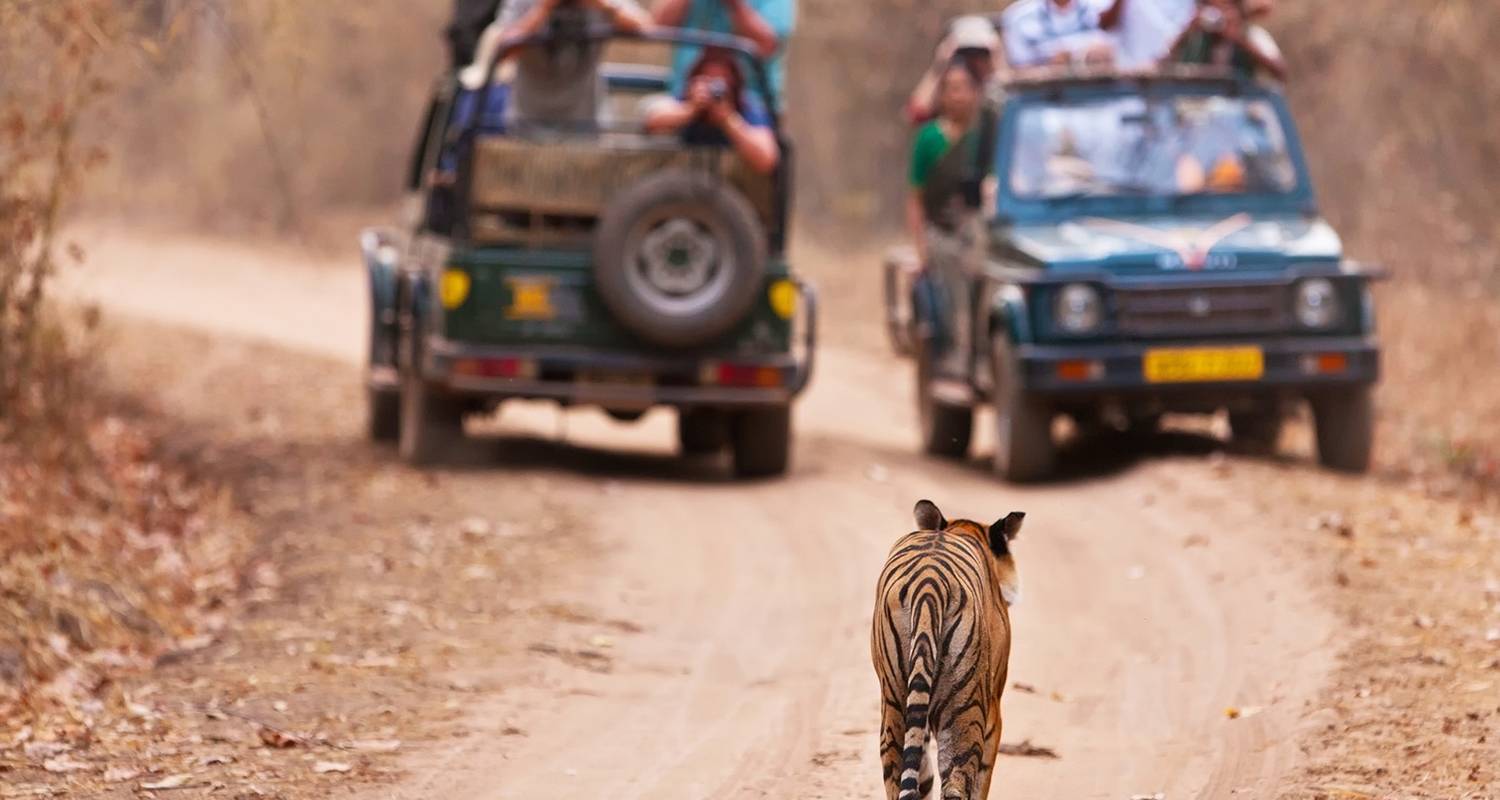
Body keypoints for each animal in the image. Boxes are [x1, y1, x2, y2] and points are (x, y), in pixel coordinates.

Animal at [870, 495, 1020, 792]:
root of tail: (929, 584)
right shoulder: (993, 713)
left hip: (894, 701)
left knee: (896, 771)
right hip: (965, 707)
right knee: (956, 781)